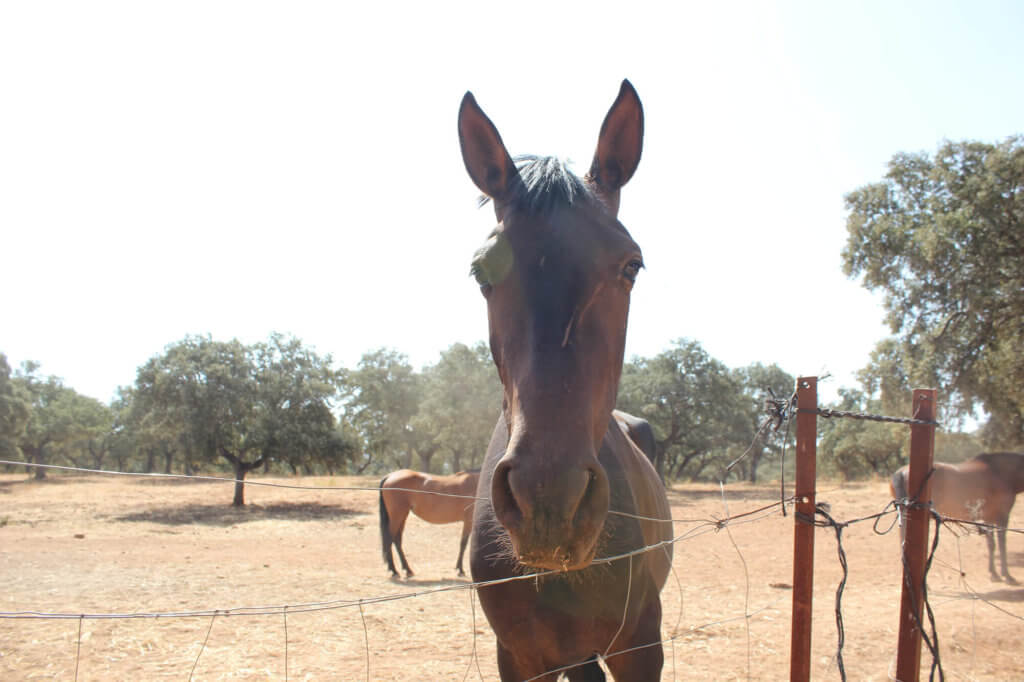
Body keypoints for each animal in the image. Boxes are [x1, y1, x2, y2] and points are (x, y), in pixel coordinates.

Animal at [890, 452, 1024, 584]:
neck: (1000, 472)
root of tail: (901, 473)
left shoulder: (988, 518)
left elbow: (992, 544)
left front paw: (994, 574)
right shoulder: (1002, 517)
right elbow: (1002, 545)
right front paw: (1007, 576)